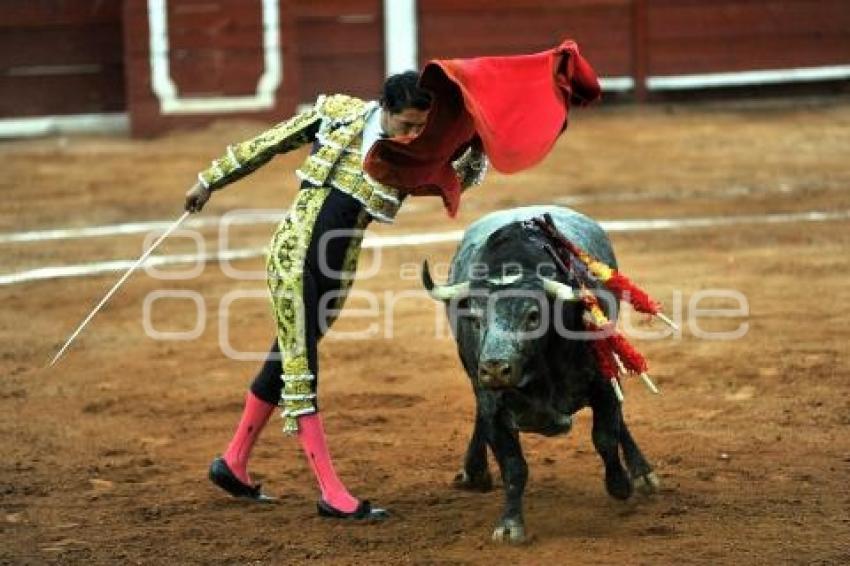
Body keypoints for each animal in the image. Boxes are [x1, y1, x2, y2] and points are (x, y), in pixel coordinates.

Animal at [420, 207, 660, 544]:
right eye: (476, 319)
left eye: (533, 316)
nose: (495, 367)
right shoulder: (493, 404)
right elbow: (513, 466)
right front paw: (510, 525)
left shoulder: (602, 383)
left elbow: (605, 437)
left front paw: (620, 485)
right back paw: (473, 473)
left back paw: (642, 473)